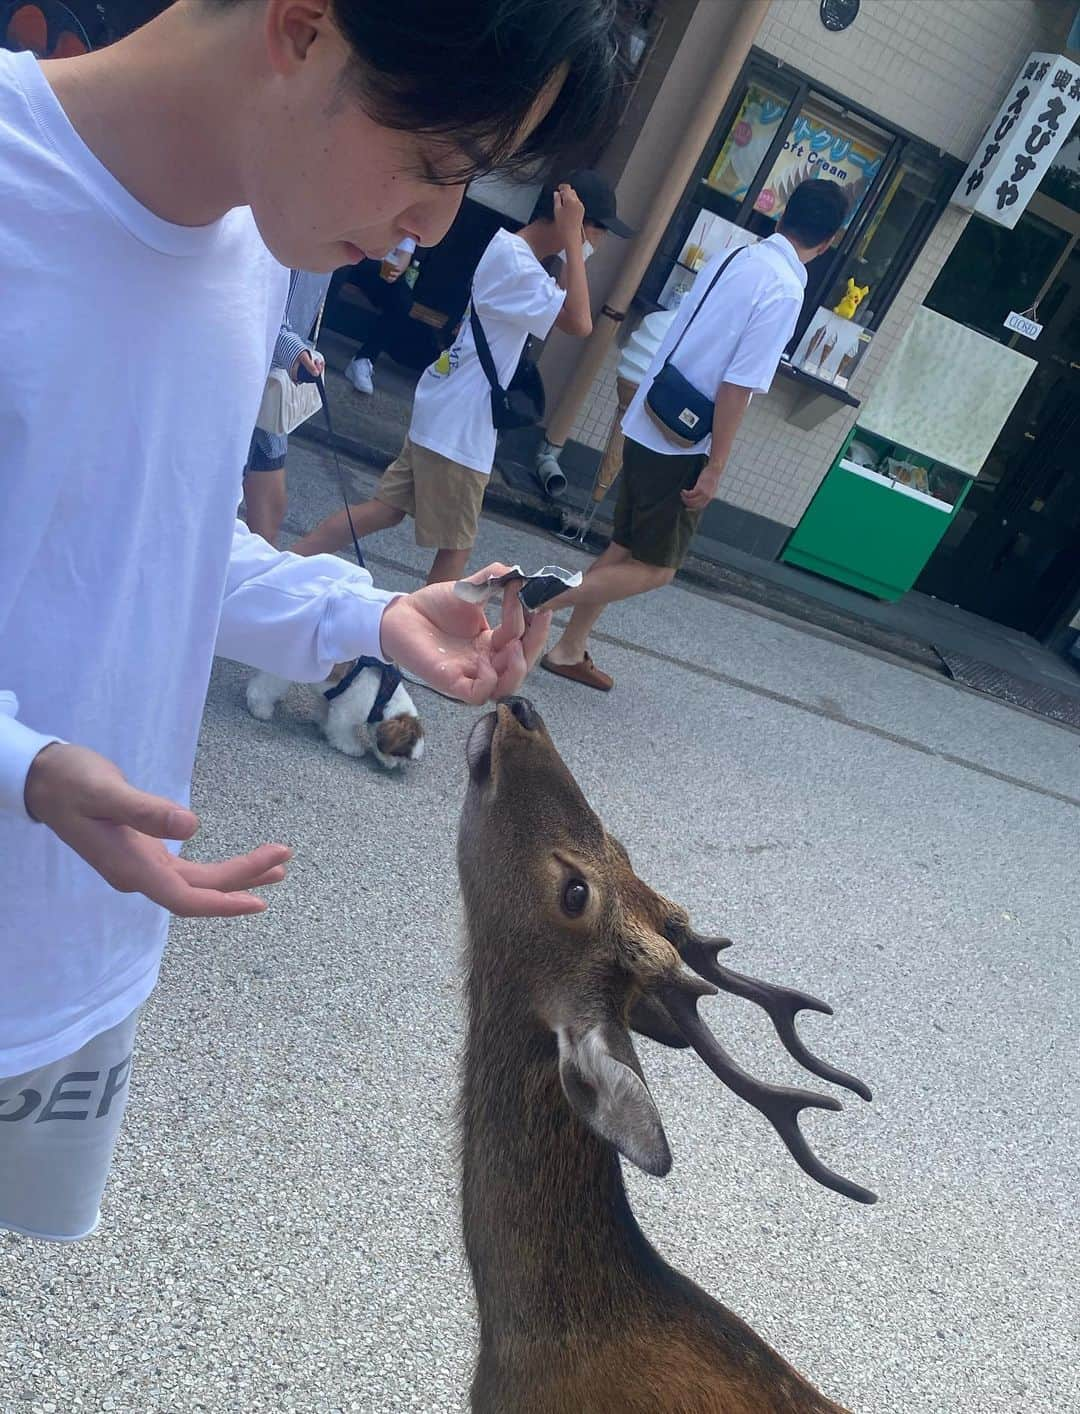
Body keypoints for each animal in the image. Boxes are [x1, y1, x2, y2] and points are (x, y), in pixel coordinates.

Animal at [247, 656, 424, 769]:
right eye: (399, 754)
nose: (399, 765)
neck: (382, 699)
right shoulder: (347, 713)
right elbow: (341, 730)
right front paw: (352, 747)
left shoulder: (330, 699)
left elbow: (324, 711)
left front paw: (321, 724)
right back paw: (260, 708)